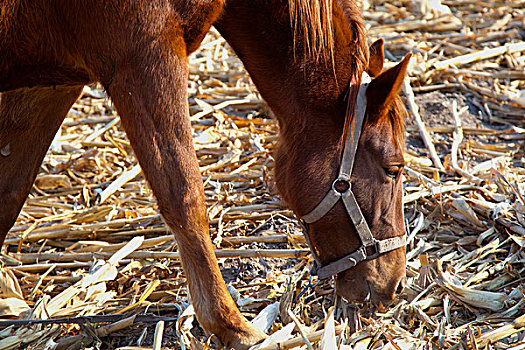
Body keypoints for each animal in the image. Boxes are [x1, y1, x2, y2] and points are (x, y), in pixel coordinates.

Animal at [0, 0, 410, 348]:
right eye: (394, 169)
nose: (395, 281)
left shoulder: (53, 83)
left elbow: (9, 195)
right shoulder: (146, 57)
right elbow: (184, 197)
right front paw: (231, 326)